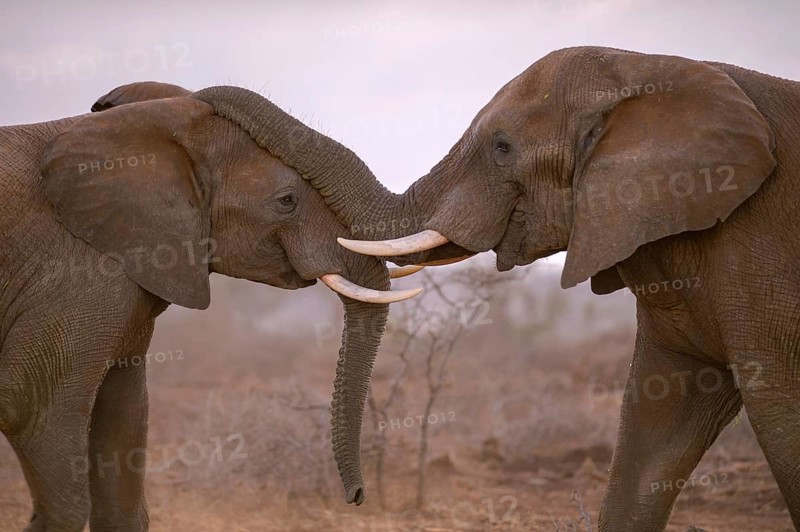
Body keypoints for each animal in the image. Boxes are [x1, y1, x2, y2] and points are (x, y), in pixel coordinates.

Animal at [337, 47, 800, 529]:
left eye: (502, 147)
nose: (357, 496)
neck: (647, 68)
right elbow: (654, 424)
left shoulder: (760, 244)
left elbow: (782, 419)